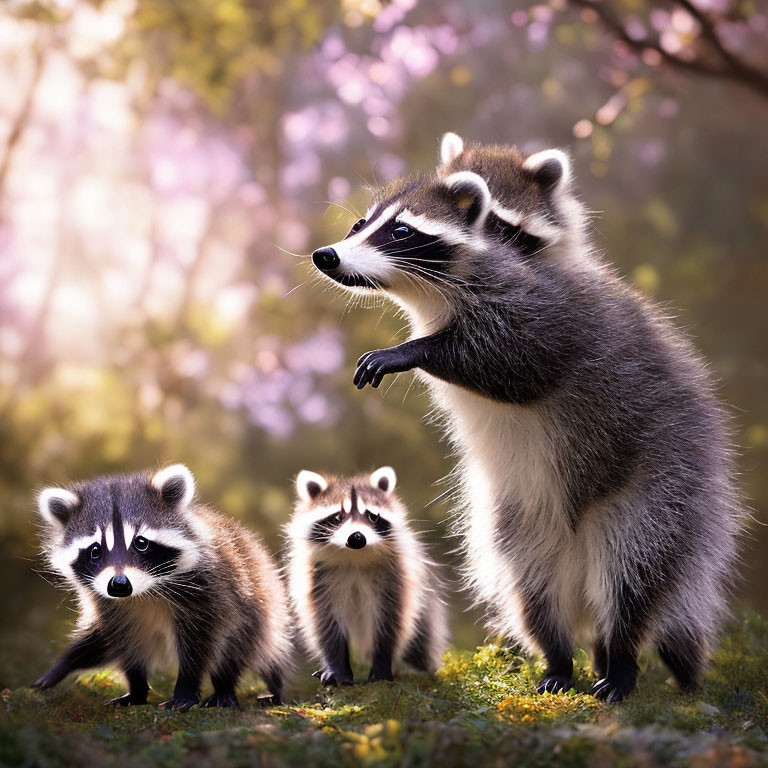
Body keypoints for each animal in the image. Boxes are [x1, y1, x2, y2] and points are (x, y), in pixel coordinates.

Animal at [32, 462, 292, 708]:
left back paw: (234, 688)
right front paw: (134, 687)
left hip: (259, 606)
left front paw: (186, 689)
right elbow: (116, 641)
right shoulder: (112, 609)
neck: (143, 593)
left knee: (236, 646)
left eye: (141, 543)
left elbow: (201, 643)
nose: (119, 585)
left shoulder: (212, 592)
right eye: (95, 550)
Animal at [284, 464, 448, 688]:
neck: (354, 557)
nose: (357, 538)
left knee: (423, 638)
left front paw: (382, 664)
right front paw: (337, 668)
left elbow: (390, 618)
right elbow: (326, 623)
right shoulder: (317, 578)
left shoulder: (395, 575)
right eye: (338, 516)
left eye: (372, 516)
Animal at [308, 134, 744, 704]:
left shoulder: (548, 310)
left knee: (634, 575)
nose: (326, 255)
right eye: (361, 223)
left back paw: (620, 656)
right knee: (532, 589)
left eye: (402, 232)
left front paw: (415, 351)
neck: (432, 292)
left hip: (659, 490)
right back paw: (558, 659)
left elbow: (522, 357)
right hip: (518, 521)